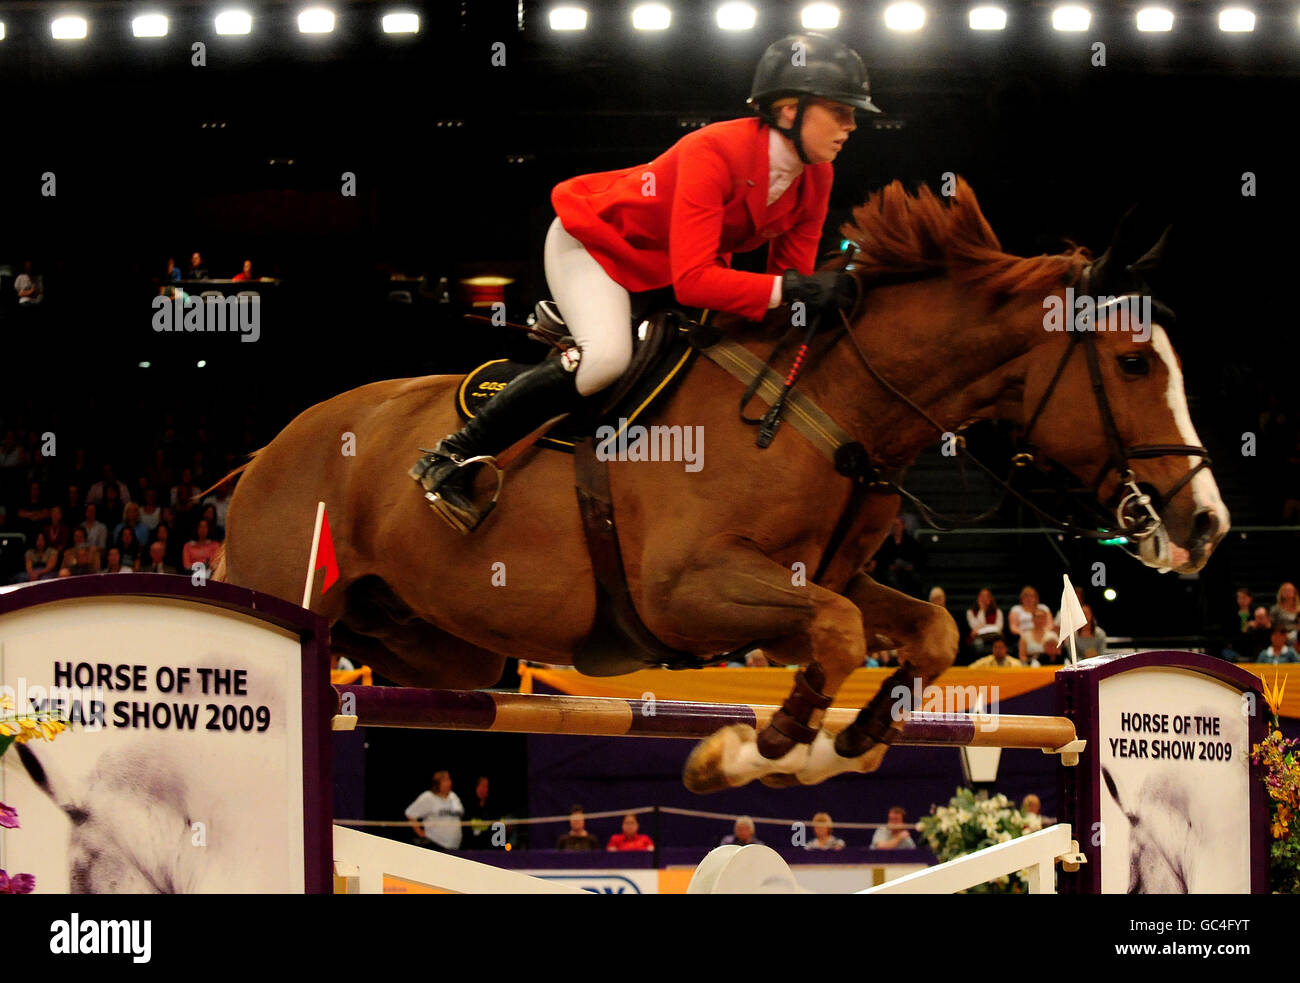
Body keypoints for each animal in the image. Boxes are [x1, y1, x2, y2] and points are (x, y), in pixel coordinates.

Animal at [213, 176, 1227, 790]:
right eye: (1135, 363)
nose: (1207, 524)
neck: (833, 403)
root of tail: (270, 450)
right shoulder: (686, 592)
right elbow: (839, 632)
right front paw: (761, 748)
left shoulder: (814, 581)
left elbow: (920, 632)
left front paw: (839, 741)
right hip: (290, 580)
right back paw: (444, 474)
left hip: (440, 650)